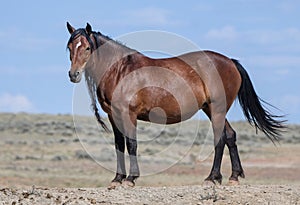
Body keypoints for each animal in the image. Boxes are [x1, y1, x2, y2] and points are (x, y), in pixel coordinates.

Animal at [67, 22, 284, 189]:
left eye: (87, 48)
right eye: (69, 47)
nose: (73, 74)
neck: (121, 71)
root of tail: (230, 62)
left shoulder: (128, 114)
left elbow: (131, 143)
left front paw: (130, 179)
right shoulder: (113, 116)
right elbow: (119, 144)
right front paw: (117, 179)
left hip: (217, 109)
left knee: (220, 138)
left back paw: (212, 178)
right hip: (210, 109)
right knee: (230, 135)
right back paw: (234, 176)